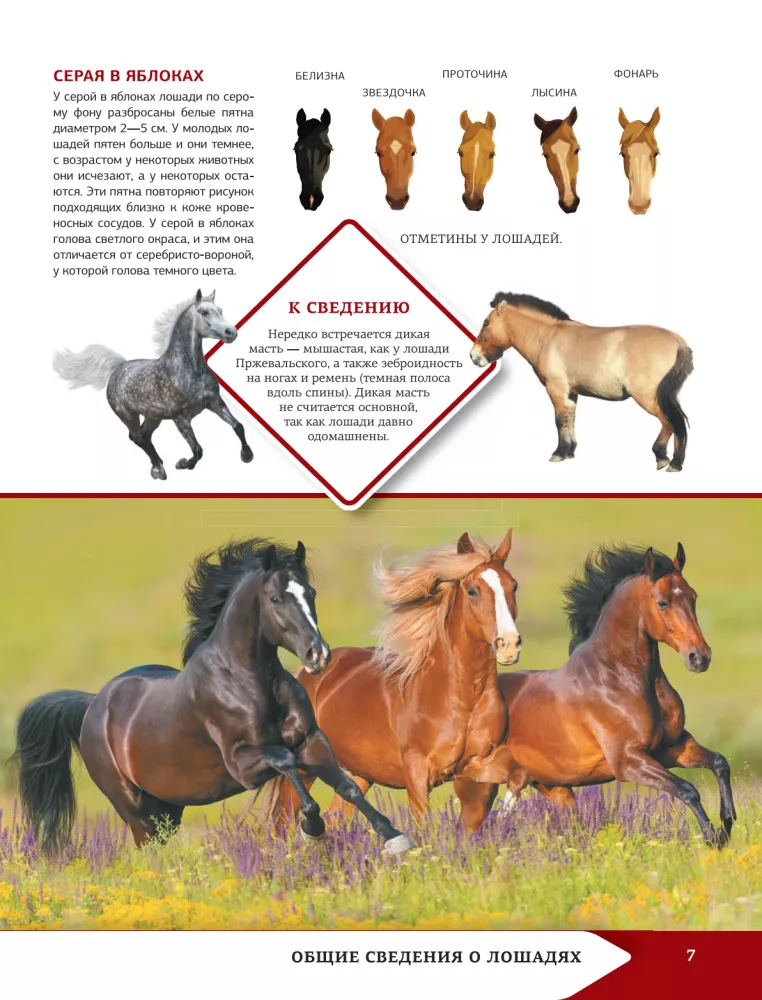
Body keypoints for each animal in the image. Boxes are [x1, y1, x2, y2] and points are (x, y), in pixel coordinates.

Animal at [12, 539, 414, 857]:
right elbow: (286, 761)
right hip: (134, 808)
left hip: (167, 808)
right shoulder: (243, 764)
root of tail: (93, 704)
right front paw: (312, 829)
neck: (250, 682)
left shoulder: (312, 741)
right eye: (275, 598)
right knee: (147, 850)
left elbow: (348, 786)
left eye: (311, 594)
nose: (319, 655)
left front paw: (395, 838)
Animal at [52, 290, 253, 480]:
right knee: (137, 438)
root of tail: (118, 367)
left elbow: (238, 426)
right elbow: (198, 450)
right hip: (128, 416)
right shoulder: (181, 418)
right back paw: (159, 469)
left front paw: (247, 455)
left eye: (220, 310)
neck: (189, 370)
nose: (231, 332)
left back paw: (158, 465)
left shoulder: (215, 403)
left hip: (153, 417)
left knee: (144, 436)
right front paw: (182, 464)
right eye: (204, 312)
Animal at [268, 530, 531, 832]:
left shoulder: (479, 762)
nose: (509, 645)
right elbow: (423, 824)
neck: (460, 698)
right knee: (281, 822)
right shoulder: (417, 772)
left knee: (336, 817)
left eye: (513, 586)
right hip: (303, 770)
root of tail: (303, 674)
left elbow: (518, 776)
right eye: (473, 590)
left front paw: (501, 818)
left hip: (357, 774)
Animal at [452, 544, 736, 849]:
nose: (700, 657)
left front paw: (728, 822)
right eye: (663, 603)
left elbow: (720, 762)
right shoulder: (628, 761)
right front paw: (713, 837)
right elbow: (687, 789)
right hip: (480, 788)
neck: (619, 679)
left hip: (555, 789)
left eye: (693, 596)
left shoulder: (671, 747)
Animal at [469, 292, 694, 472]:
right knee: (678, 424)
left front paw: (558, 453)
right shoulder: (571, 393)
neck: (547, 338)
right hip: (669, 396)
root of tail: (678, 342)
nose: (474, 356)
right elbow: (571, 419)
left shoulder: (556, 389)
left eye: (486, 323)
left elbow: (559, 420)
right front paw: (569, 451)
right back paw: (676, 463)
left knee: (669, 422)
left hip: (649, 397)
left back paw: (662, 458)